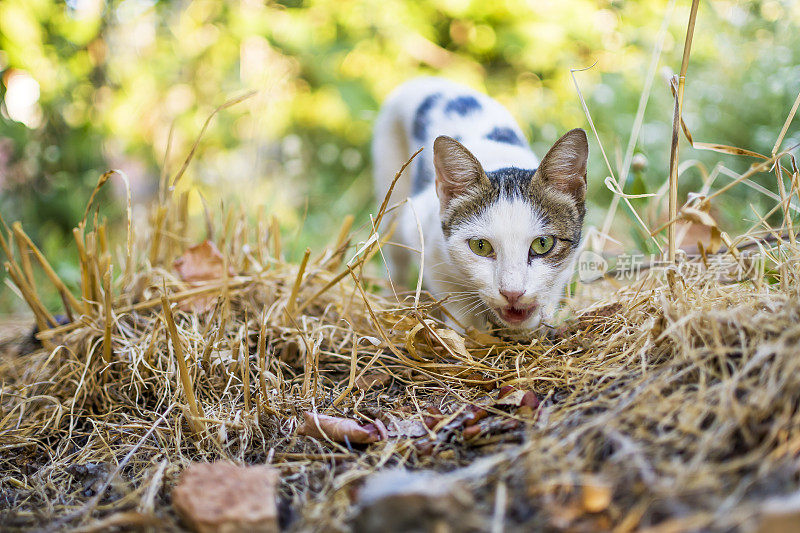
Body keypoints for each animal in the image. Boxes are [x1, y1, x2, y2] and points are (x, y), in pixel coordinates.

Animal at [370, 77, 588, 330]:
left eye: (543, 244)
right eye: (480, 246)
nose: (512, 293)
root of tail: (425, 79)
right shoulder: (422, 233)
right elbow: (453, 299)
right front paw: (463, 332)